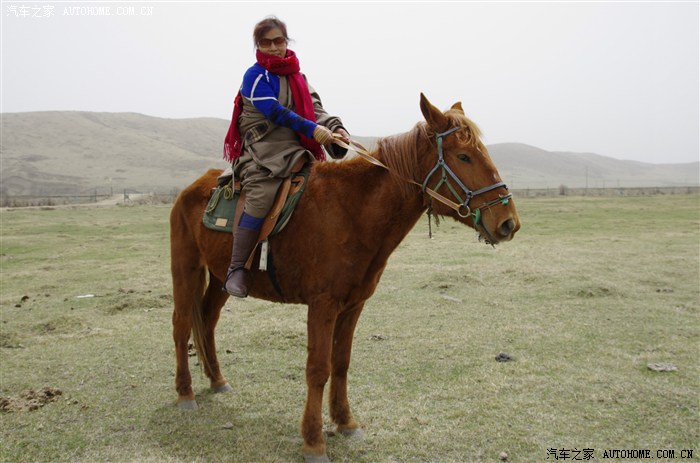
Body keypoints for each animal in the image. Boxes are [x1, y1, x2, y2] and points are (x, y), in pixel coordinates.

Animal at [169, 94, 521, 462]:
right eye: (464, 156)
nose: (508, 222)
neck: (353, 211)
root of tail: (192, 188)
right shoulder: (322, 306)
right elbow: (317, 369)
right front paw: (313, 441)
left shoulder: (353, 306)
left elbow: (341, 363)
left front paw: (345, 422)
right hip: (186, 269)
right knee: (182, 325)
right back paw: (185, 392)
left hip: (221, 277)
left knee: (207, 320)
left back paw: (217, 380)